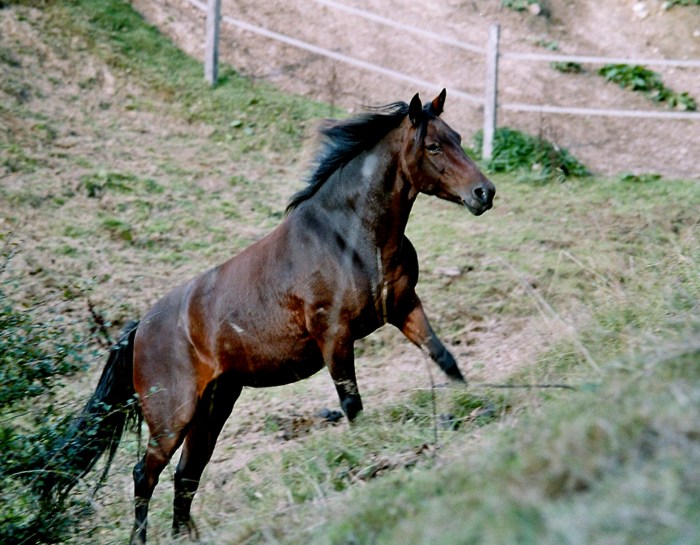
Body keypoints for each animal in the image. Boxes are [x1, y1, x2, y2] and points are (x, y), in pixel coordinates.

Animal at [47, 89, 492, 540]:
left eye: (457, 137)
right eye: (433, 145)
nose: (484, 192)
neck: (349, 239)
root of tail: (139, 330)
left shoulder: (403, 307)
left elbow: (444, 357)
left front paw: (477, 402)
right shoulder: (335, 336)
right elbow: (352, 404)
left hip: (213, 408)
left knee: (186, 475)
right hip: (173, 417)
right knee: (145, 474)